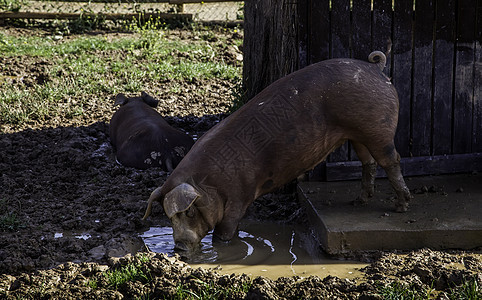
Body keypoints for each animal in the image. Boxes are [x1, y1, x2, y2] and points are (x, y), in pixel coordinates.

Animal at [141, 52, 412, 253]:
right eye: (169, 217)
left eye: (188, 211)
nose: (178, 248)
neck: (209, 183)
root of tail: (376, 68)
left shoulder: (240, 195)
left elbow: (226, 231)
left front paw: (223, 248)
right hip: (357, 135)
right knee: (369, 162)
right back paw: (359, 201)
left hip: (377, 129)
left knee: (392, 160)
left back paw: (401, 206)